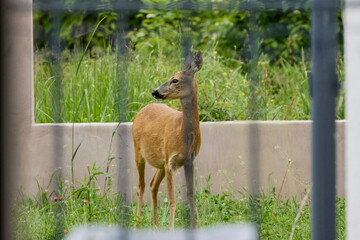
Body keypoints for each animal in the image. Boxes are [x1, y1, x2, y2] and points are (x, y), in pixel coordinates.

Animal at [131, 51, 202, 231]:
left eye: (175, 80)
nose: (155, 91)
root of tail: (141, 110)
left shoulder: (188, 160)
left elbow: (191, 195)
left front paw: (194, 227)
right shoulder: (170, 161)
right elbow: (172, 200)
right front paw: (171, 229)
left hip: (160, 161)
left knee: (152, 184)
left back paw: (155, 224)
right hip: (138, 152)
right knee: (141, 186)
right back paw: (137, 224)